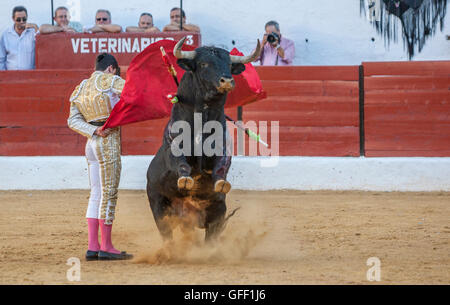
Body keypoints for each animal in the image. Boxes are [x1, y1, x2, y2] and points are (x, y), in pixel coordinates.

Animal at [148, 37, 260, 240]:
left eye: (229, 64)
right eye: (203, 64)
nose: (227, 80)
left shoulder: (223, 151)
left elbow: (221, 166)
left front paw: (221, 183)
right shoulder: (173, 148)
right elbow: (181, 163)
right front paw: (185, 180)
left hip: (217, 213)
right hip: (159, 209)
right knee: (167, 235)